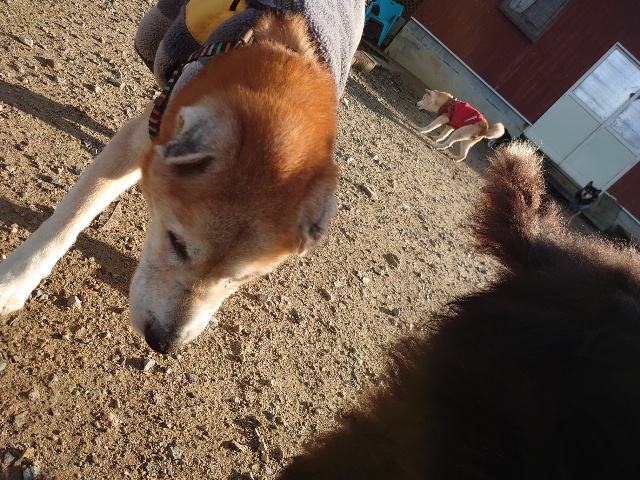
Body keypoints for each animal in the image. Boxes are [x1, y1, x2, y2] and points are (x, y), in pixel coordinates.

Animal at [0, 0, 365, 353]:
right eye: (176, 242)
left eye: (243, 279)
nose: (163, 343)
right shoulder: (140, 139)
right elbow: (72, 215)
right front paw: (15, 281)